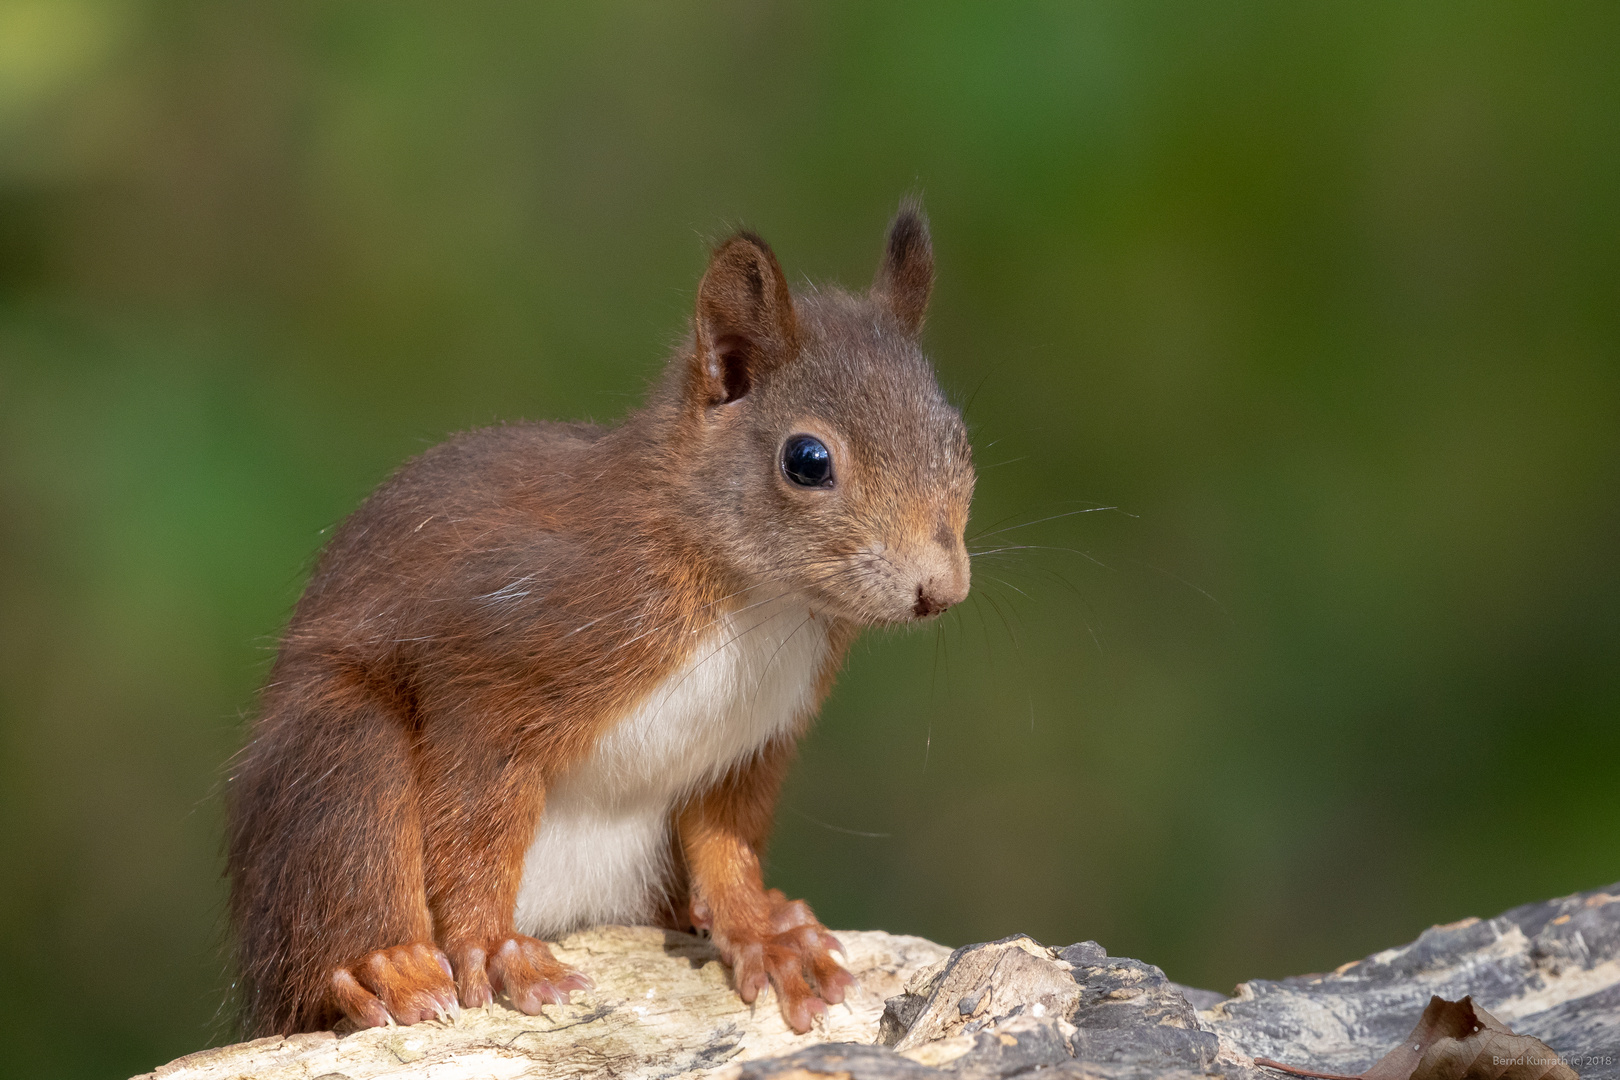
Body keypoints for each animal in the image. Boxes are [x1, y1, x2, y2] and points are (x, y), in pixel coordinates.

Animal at [221, 202, 965, 1036]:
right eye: (807, 460)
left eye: (959, 438)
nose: (941, 589)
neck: (758, 600)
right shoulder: (495, 657)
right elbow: (474, 824)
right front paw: (493, 945)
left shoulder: (747, 744)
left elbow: (725, 841)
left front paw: (764, 934)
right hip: (334, 754)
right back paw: (385, 968)